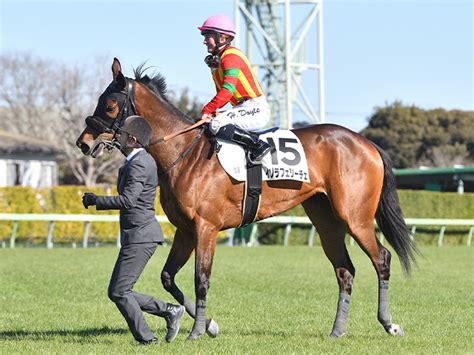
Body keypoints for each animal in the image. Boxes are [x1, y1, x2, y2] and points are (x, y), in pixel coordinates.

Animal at [75, 58, 414, 342]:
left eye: (109, 105)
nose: (83, 142)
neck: (184, 153)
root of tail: (366, 142)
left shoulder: (206, 228)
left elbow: (201, 279)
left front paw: (196, 332)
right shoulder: (186, 230)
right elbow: (168, 277)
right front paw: (208, 324)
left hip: (354, 216)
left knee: (381, 259)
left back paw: (389, 324)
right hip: (326, 220)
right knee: (345, 271)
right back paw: (337, 331)